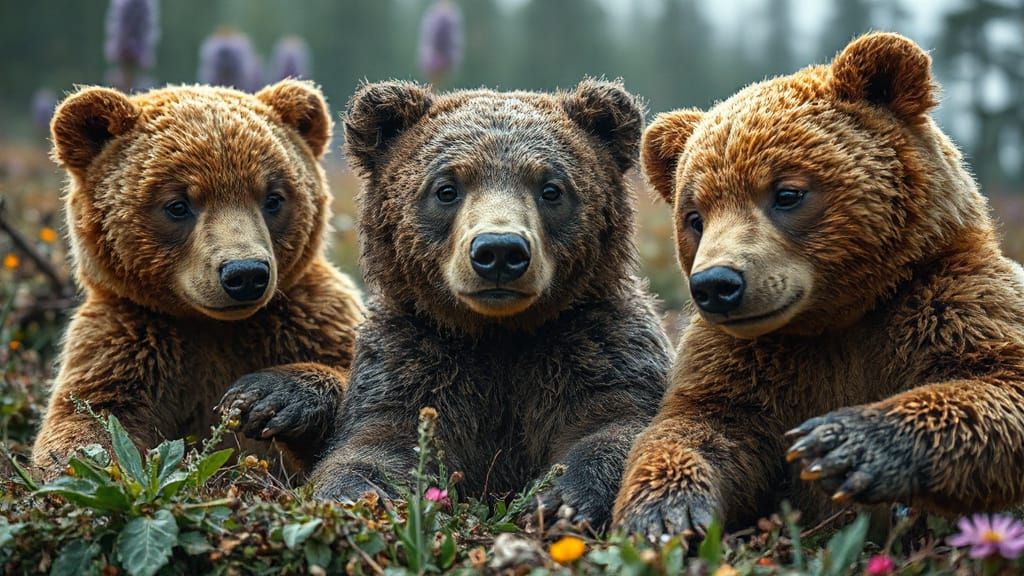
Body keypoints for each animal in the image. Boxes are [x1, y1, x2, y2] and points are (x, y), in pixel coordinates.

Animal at [32, 80, 364, 477]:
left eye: (273, 198)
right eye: (178, 205)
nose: (245, 274)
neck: (212, 325)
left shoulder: (309, 317)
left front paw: (266, 397)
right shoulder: (129, 340)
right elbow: (89, 417)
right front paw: (94, 465)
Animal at [223, 79, 673, 529]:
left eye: (551, 188)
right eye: (446, 188)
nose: (500, 251)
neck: (500, 332)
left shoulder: (594, 347)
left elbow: (615, 424)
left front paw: (560, 499)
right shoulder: (418, 361)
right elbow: (382, 445)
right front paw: (357, 496)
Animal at [612, 32, 1024, 539]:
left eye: (787, 193)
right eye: (694, 216)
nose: (715, 284)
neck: (839, 316)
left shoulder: (949, 300)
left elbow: (998, 380)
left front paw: (841, 445)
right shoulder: (745, 359)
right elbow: (704, 422)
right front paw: (662, 513)